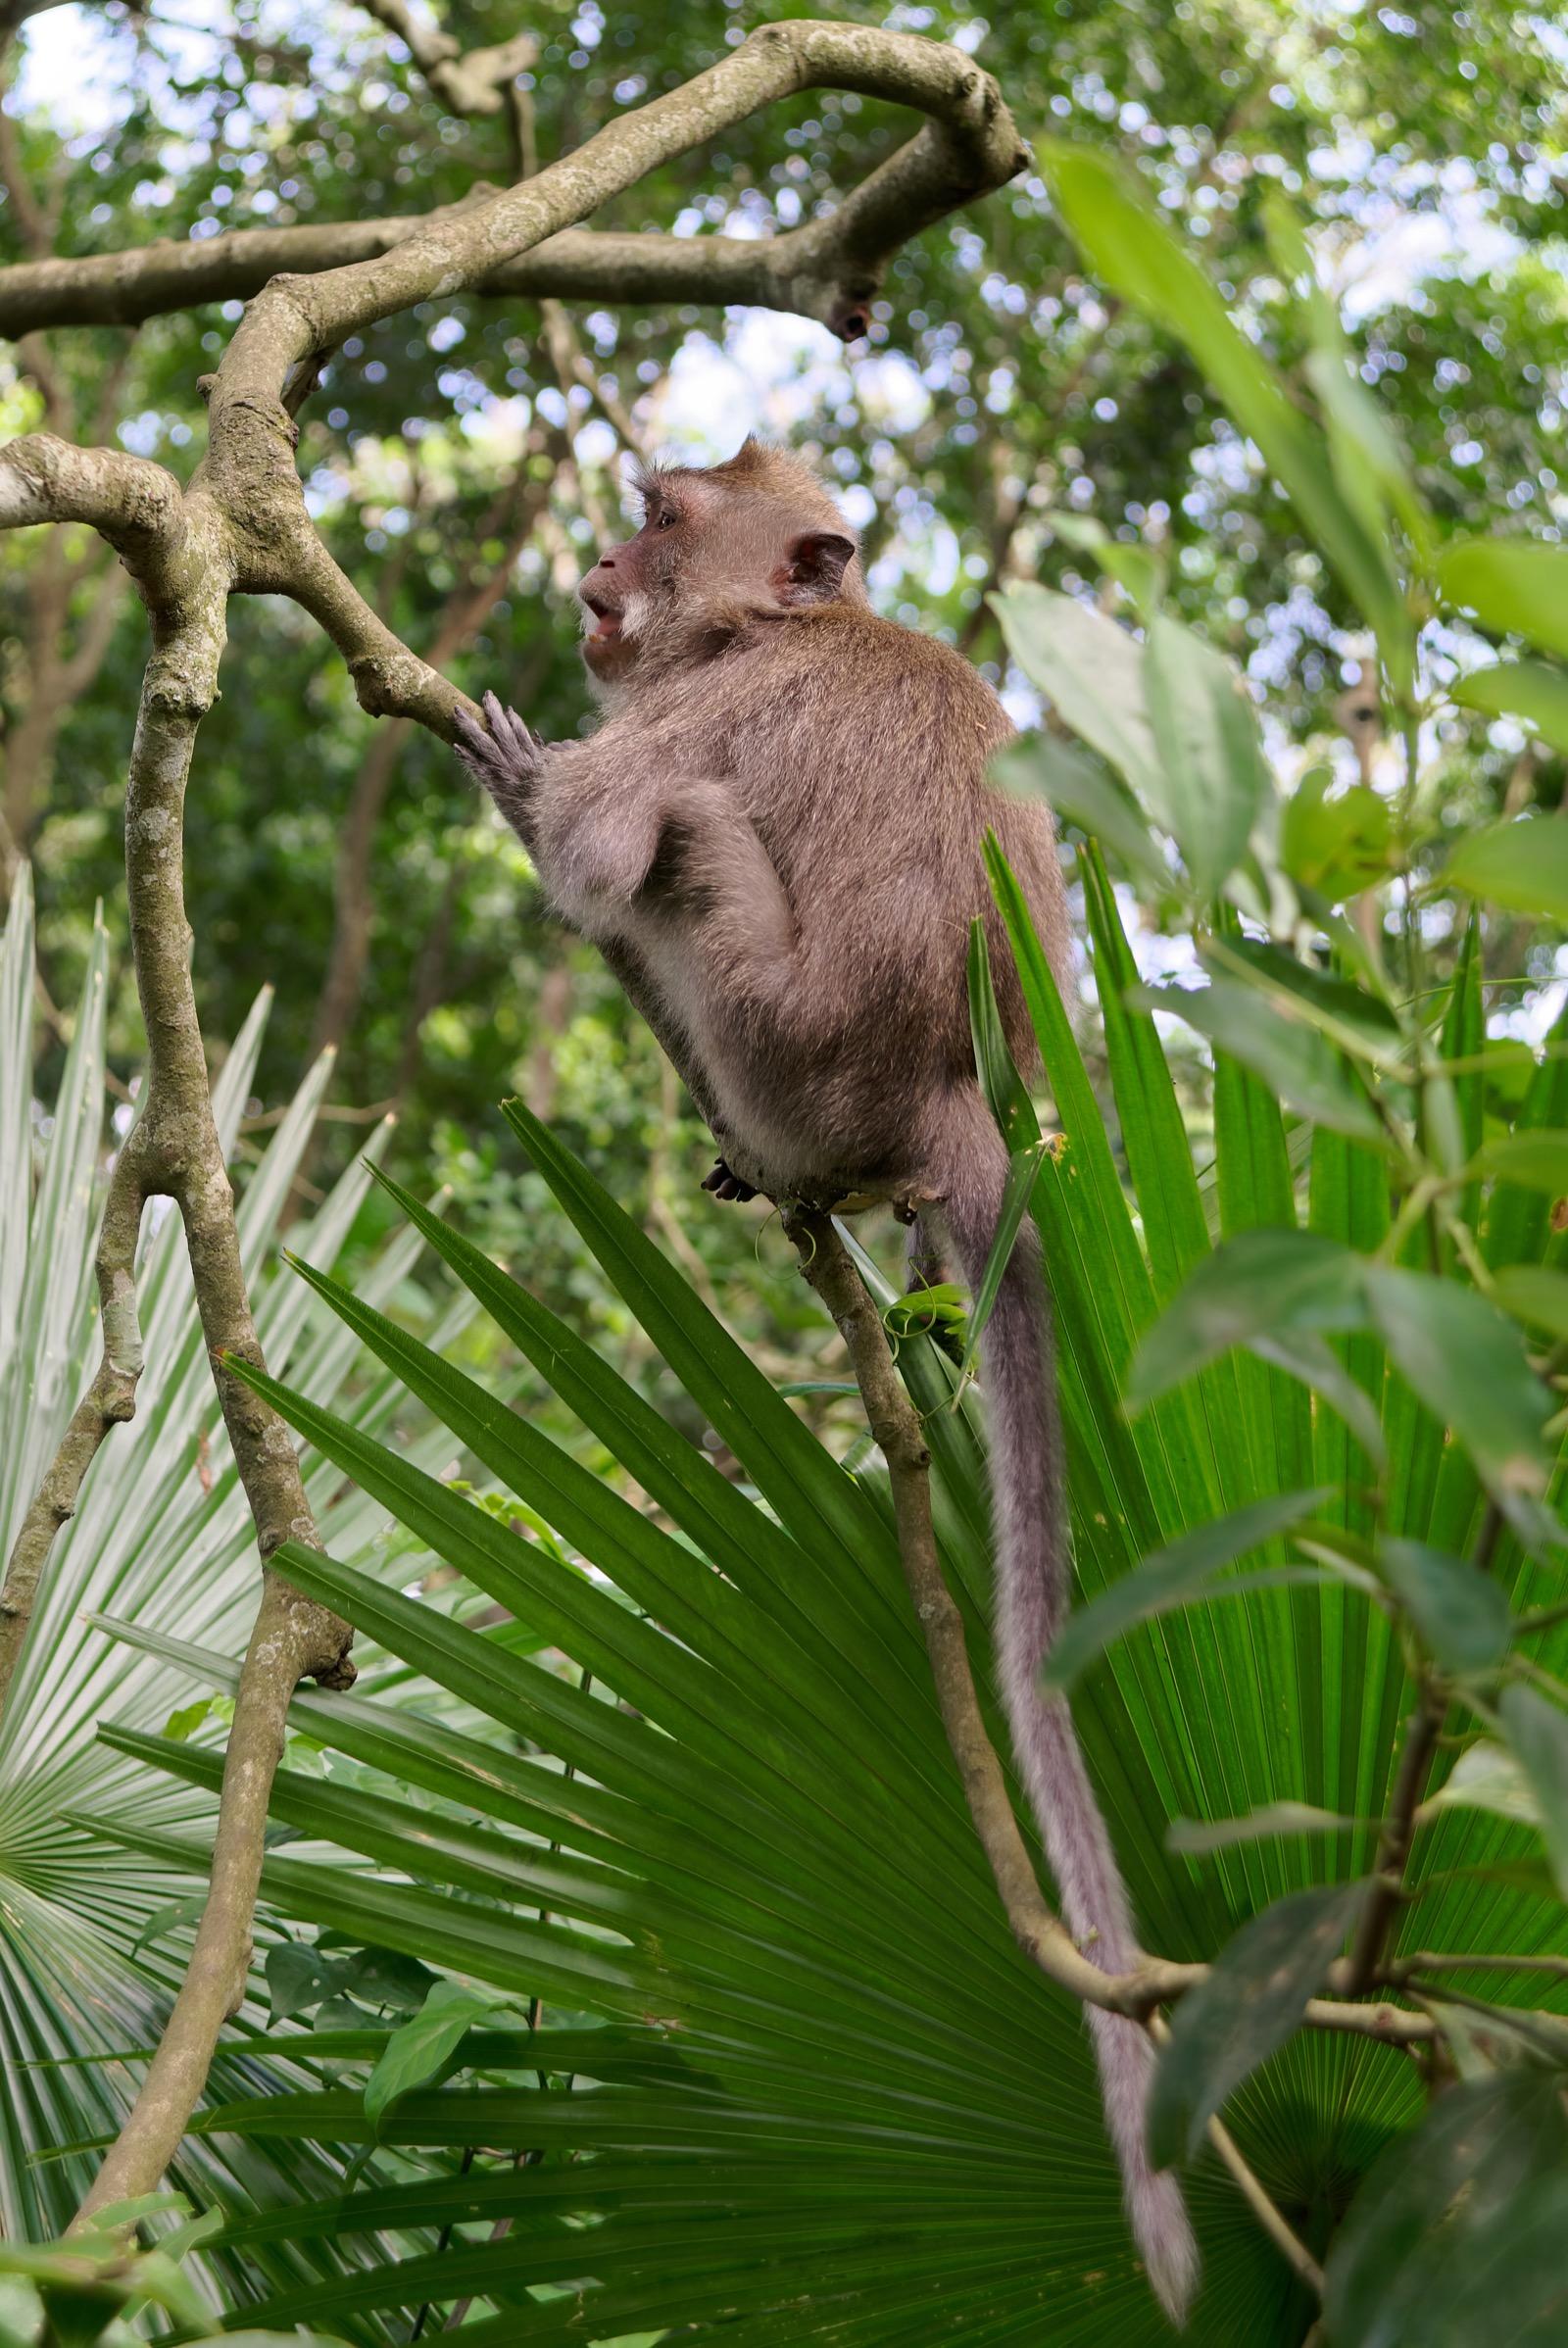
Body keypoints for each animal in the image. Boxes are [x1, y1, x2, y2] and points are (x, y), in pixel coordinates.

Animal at [454, 438, 1198, 2321]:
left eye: (659, 514)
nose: (596, 569)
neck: (796, 626)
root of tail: (943, 1101)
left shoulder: (701, 712)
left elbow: (603, 836)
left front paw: (525, 785)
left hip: (770, 1032)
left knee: (686, 847)